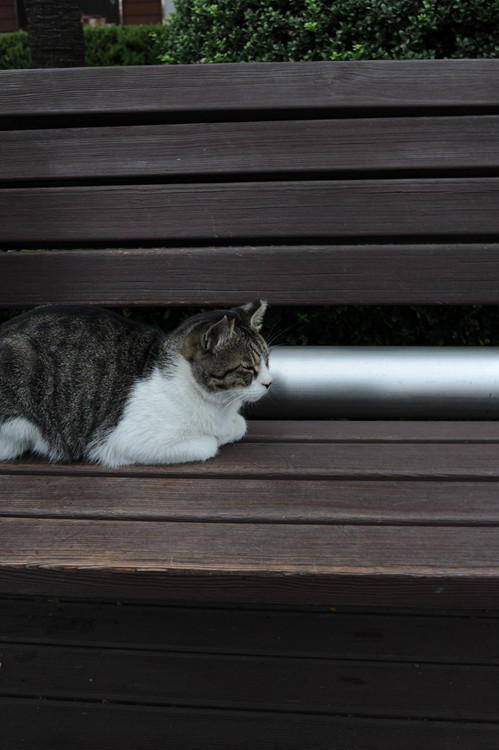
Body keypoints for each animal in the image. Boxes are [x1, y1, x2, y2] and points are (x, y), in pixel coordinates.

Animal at [0, 298, 272, 464]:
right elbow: (208, 445)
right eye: (248, 367)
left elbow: (239, 425)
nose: (269, 382)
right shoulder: (125, 439)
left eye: (267, 360)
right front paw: (214, 437)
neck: (218, 406)